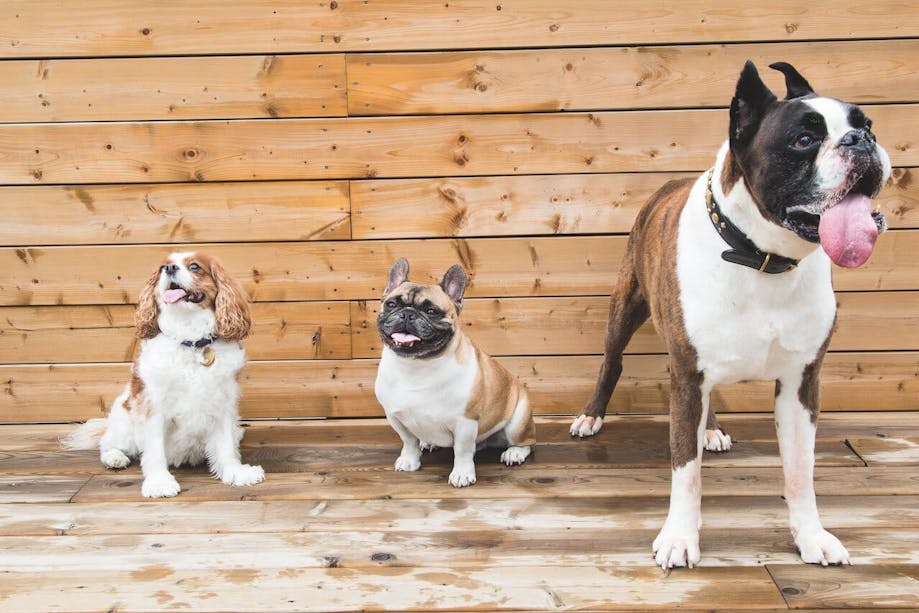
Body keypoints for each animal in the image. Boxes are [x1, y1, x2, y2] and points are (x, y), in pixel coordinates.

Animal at [568, 59, 892, 568]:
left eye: (867, 124)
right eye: (804, 139)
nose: (861, 140)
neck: (762, 257)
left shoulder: (801, 383)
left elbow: (800, 472)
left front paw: (811, 535)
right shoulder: (687, 374)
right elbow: (685, 471)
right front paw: (680, 537)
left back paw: (712, 428)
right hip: (626, 310)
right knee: (612, 363)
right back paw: (591, 416)